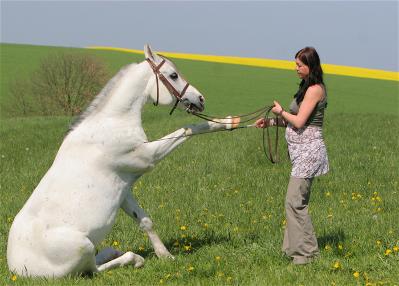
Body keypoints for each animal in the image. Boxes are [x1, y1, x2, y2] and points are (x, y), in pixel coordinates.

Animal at [6, 44, 239, 278]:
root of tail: (19, 268)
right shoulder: (147, 157)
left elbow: (145, 221)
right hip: (82, 248)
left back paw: (113, 251)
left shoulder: (124, 190)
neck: (112, 122)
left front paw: (165, 256)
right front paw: (227, 122)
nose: (200, 99)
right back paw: (133, 259)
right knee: (95, 269)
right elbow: (189, 129)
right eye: (173, 75)